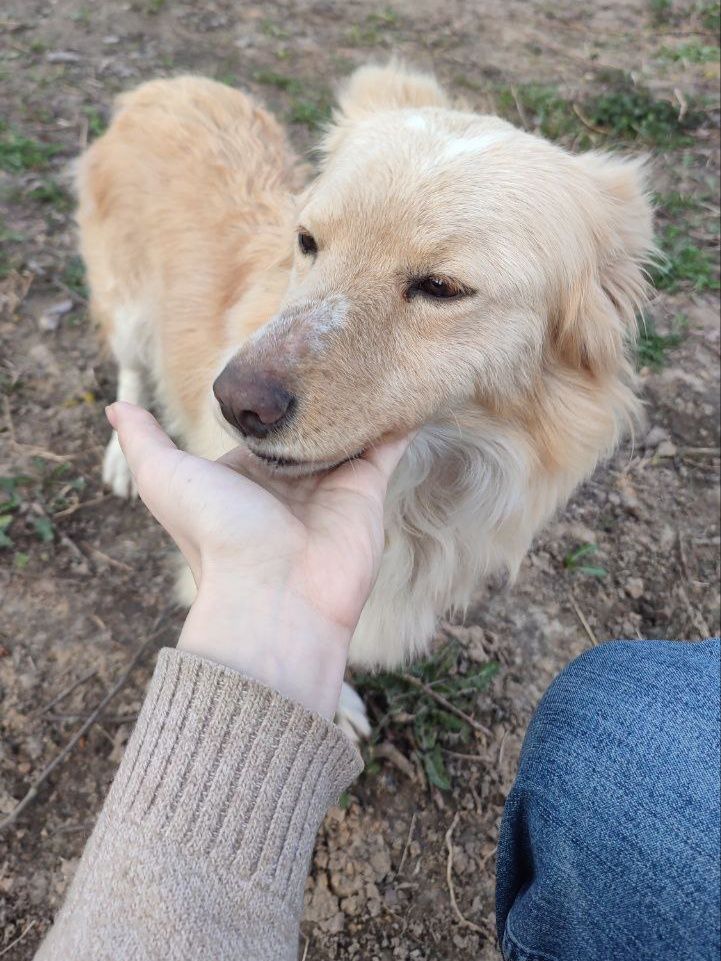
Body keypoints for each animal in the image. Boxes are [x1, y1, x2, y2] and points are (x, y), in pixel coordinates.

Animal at [77, 63, 652, 740]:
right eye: (307, 241)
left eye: (441, 287)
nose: (234, 403)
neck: (420, 490)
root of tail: (168, 85)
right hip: (129, 306)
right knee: (129, 370)